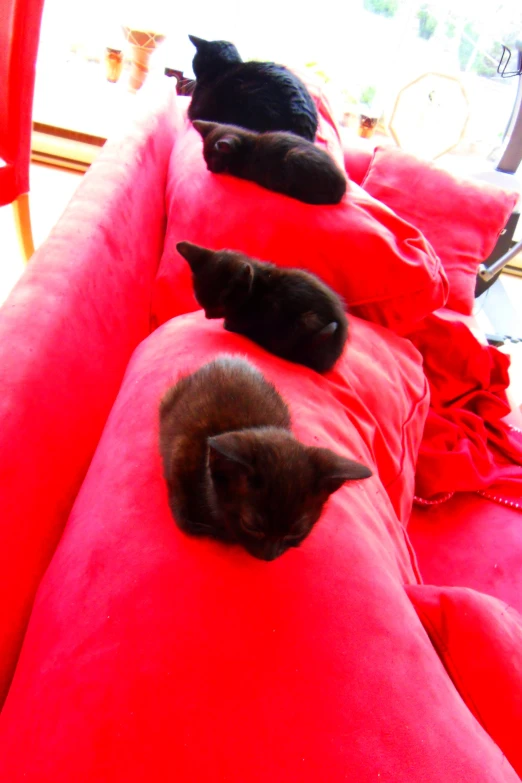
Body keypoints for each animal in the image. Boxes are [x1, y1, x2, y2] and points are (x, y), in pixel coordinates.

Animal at [176, 239, 350, 374]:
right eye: (201, 302)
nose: (208, 316)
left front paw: (228, 324)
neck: (256, 289)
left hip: (305, 322)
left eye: (219, 308)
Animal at [191, 119, 346, 205]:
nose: (209, 168)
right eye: (204, 158)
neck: (248, 146)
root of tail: (342, 188)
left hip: (295, 156)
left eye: (213, 160)